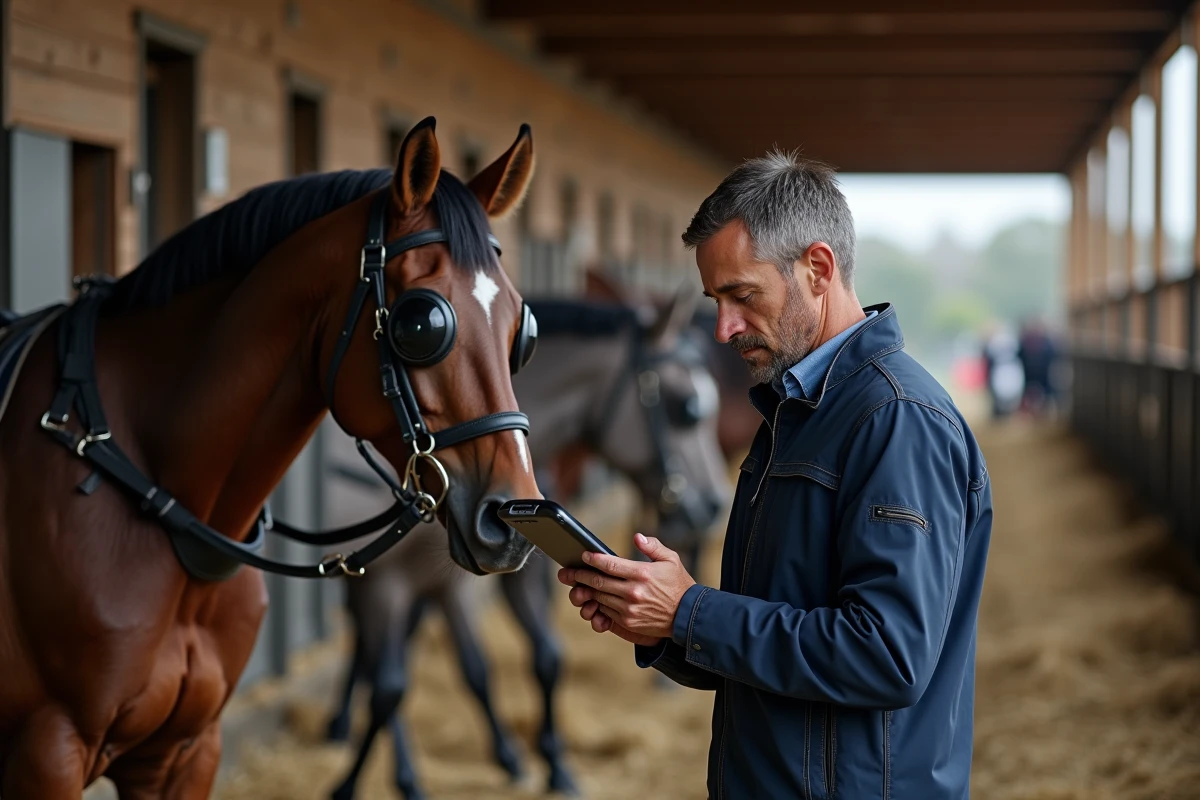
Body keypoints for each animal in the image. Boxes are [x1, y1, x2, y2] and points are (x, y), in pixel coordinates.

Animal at [323, 289, 733, 800]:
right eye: (685, 406)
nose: (713, 505)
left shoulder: (476, 576)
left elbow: (526, 659)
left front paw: (547, 763)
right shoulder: (388, 583)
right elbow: (392, 688)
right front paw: (360, 782)